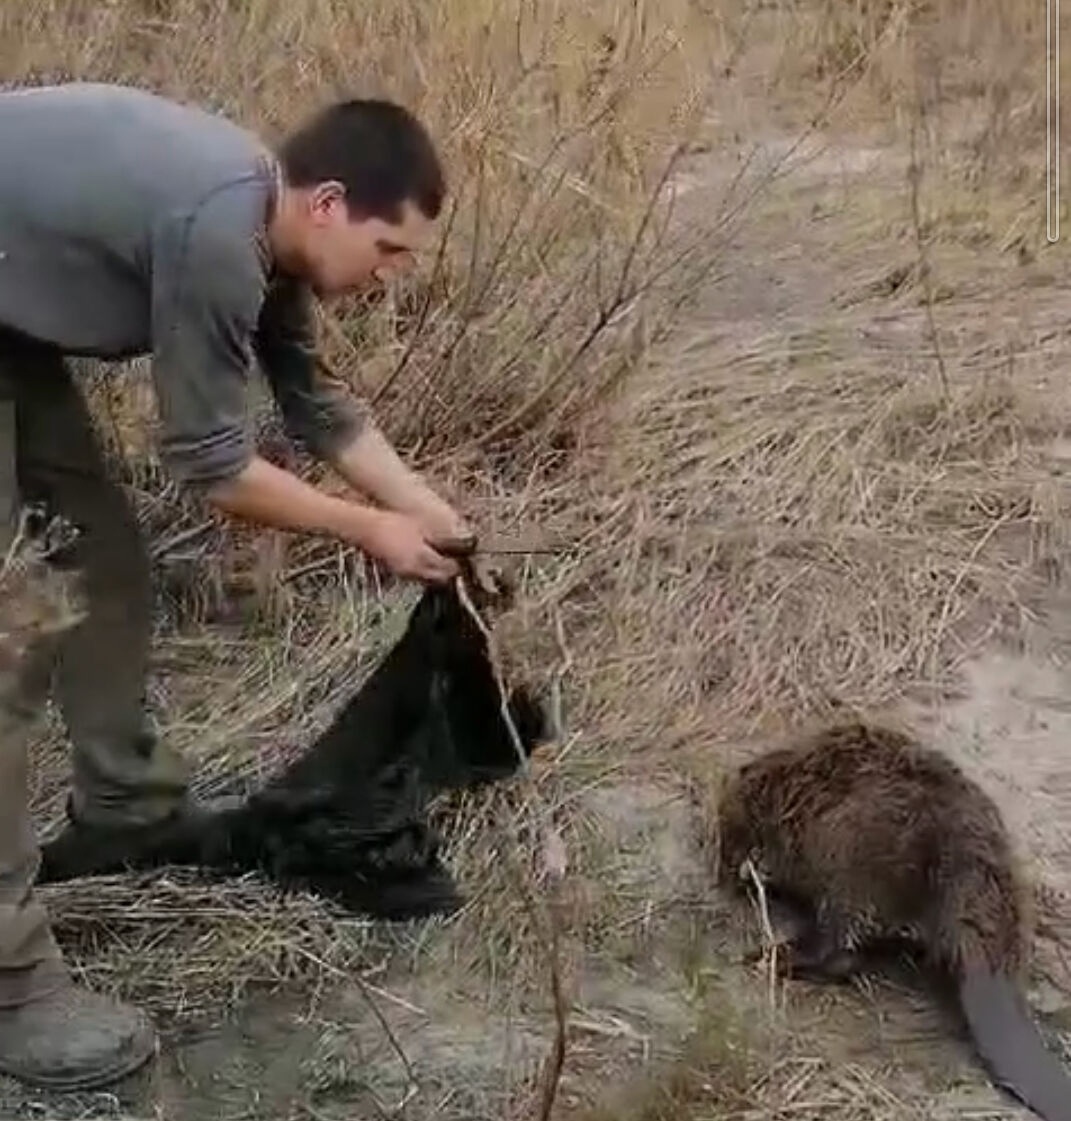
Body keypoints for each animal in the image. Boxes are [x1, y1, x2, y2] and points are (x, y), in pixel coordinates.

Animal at [717, 717, 1071, 1121]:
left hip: (850, 867)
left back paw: (767, 955)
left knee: (838, 952)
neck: (787, 783)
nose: (726, 871)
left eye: (727, 836)